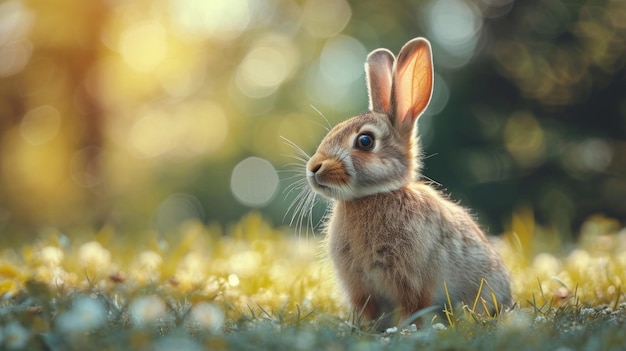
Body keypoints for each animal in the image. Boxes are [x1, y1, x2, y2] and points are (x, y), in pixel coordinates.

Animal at [304, 38, 512, 330]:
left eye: (365, 141)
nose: (313, 168)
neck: (374, 195)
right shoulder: (360, 286)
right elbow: (368, 310)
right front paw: (365, 328)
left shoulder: (412, 279)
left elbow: (413, 306)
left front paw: (404, 330)